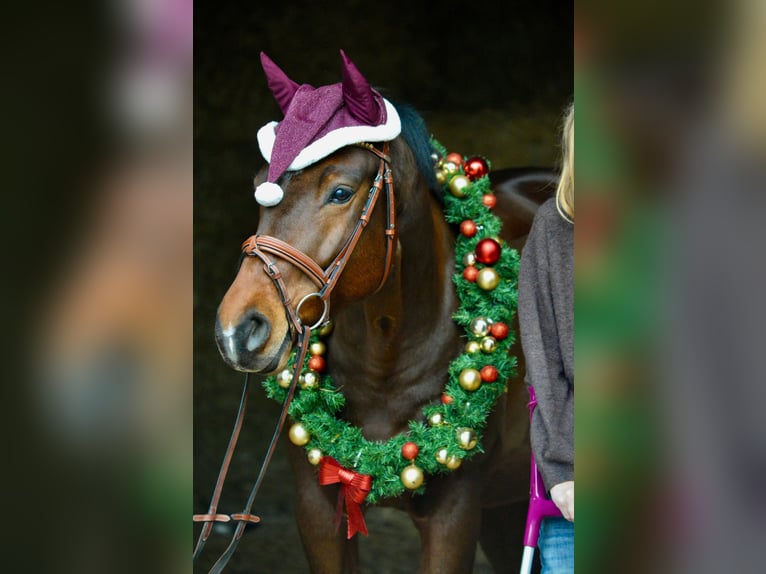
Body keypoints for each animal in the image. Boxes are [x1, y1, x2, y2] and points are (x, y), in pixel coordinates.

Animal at [208, 90, 556, 571]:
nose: (238, 330)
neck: (385, 360)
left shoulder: (454, 516)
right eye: (261, 187)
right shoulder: (317, 513)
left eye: (340, 192)